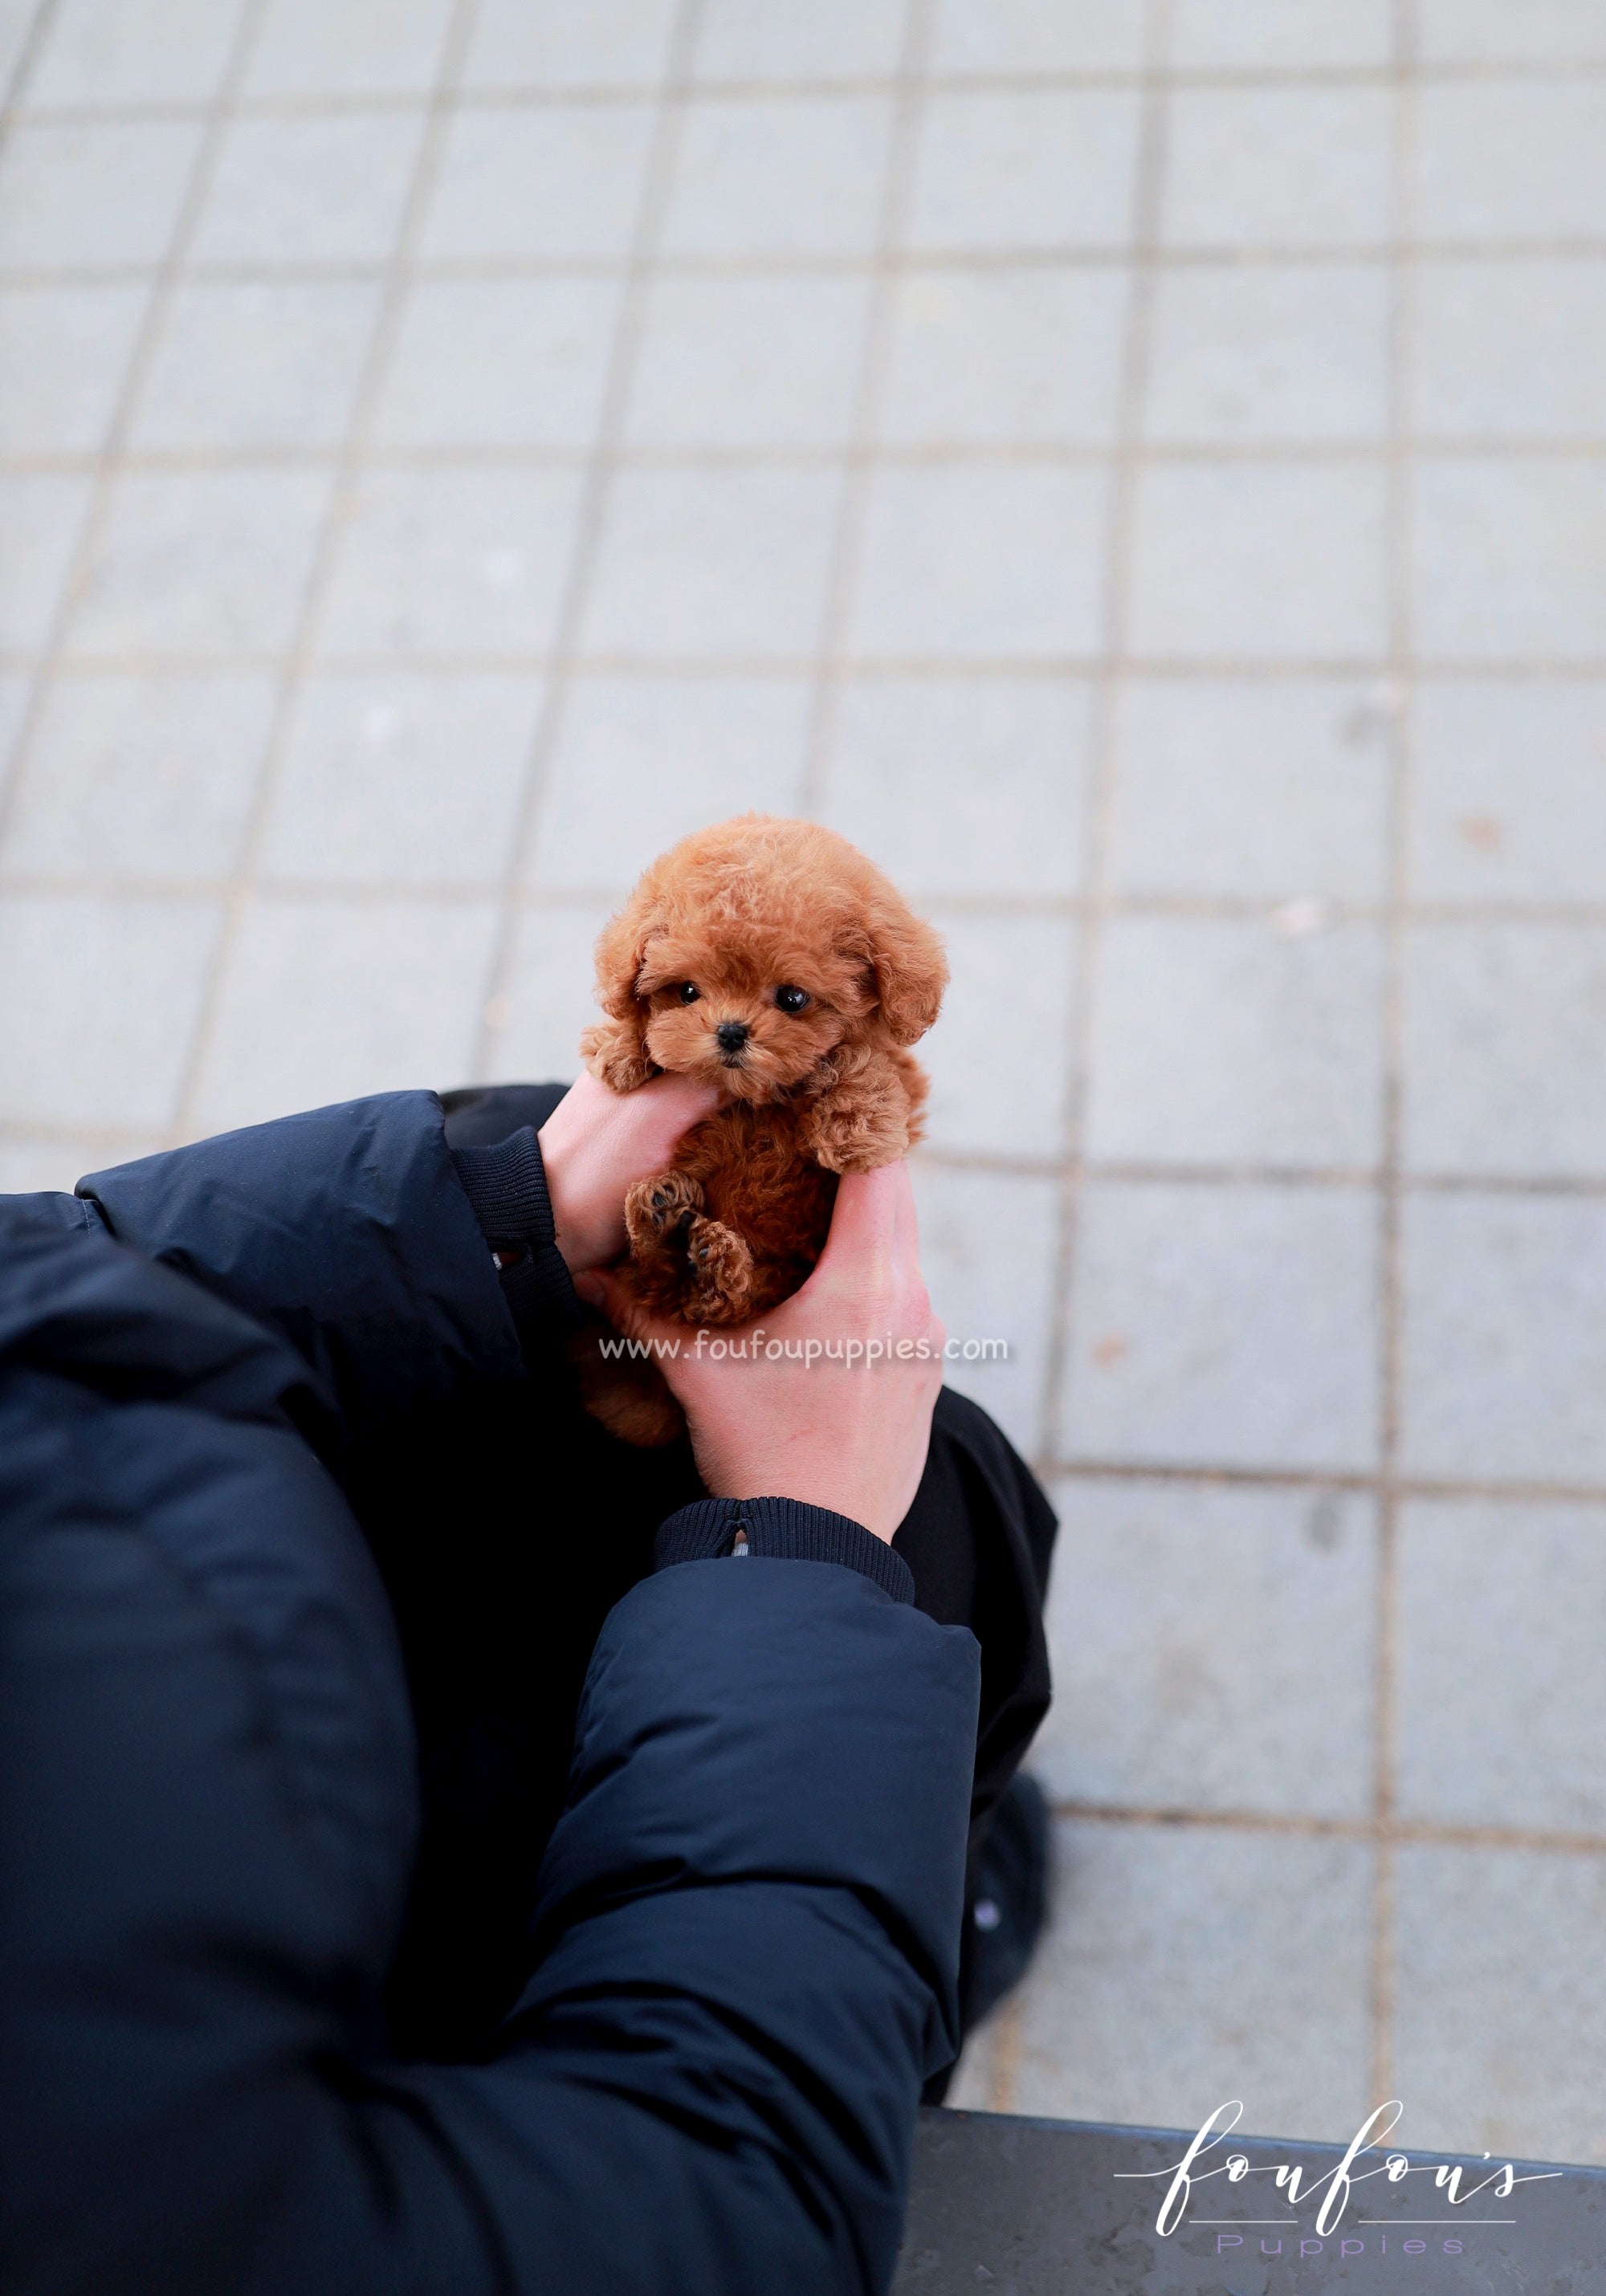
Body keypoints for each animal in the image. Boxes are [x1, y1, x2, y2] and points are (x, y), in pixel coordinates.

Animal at [574, 817, 942, 1442]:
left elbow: (865, 1060)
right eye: (687, 992)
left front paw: (854, 1129)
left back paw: (705, 1258)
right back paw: (668, 1223)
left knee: (713, 1306)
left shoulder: (904, 1075)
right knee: (661, 1284)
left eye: (793, 998)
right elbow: (636, 1023)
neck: (759, 1099)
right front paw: (621, 1048)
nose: (729, 1031)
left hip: (778, 1280)